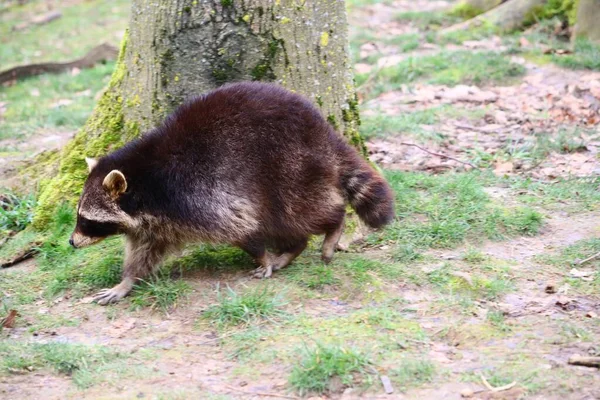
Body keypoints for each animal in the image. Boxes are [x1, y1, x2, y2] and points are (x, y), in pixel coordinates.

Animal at [70, 82, 394, 306]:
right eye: (79, 216)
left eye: (87, 220)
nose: (72, 242)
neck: (145, 182)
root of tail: (323, 131)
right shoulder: (157, 221)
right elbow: (144, 251)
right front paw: (127, 281)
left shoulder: (197, 195)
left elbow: (240, 226)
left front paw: (261, 257)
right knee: (286, 223)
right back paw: (293, 248)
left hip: (291, 167)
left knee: (300, 211)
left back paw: (332, 226)